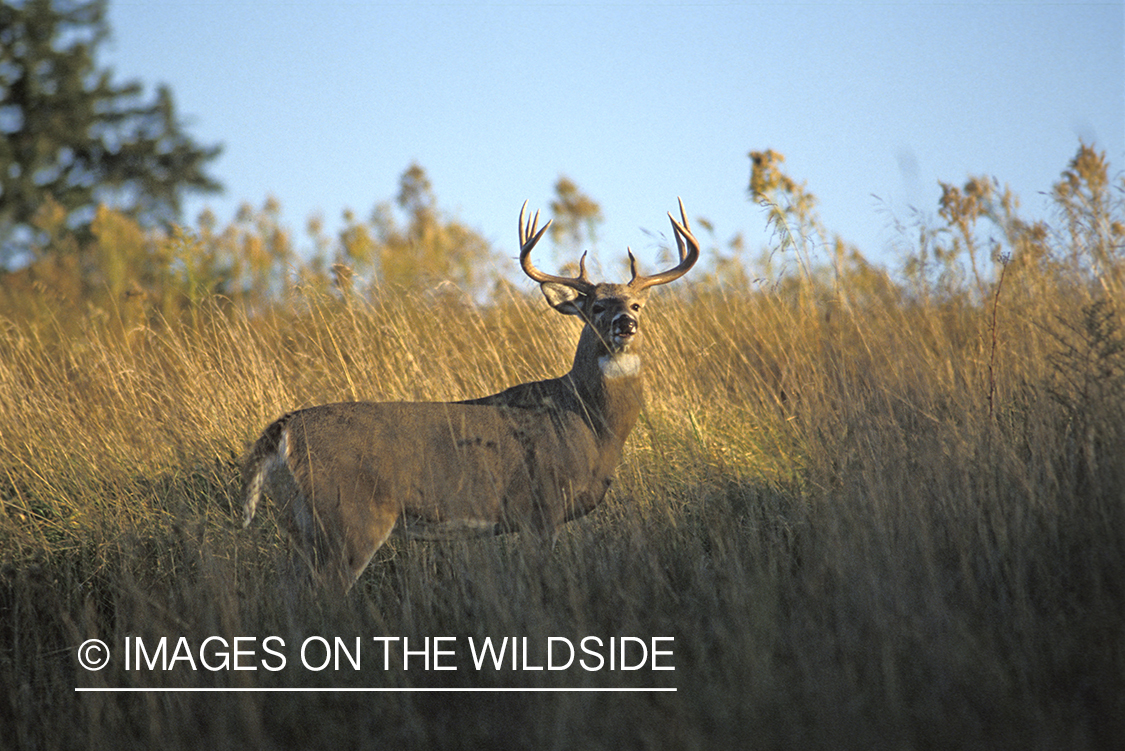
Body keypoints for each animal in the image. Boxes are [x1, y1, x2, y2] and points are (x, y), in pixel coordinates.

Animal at [241, 199, 700, 593]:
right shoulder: (540, 507)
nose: (625, 324)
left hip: (301, 523)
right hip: (351, 516)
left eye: (637, 305)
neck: (590, 423)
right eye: (597, 307)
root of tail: (284, 429)